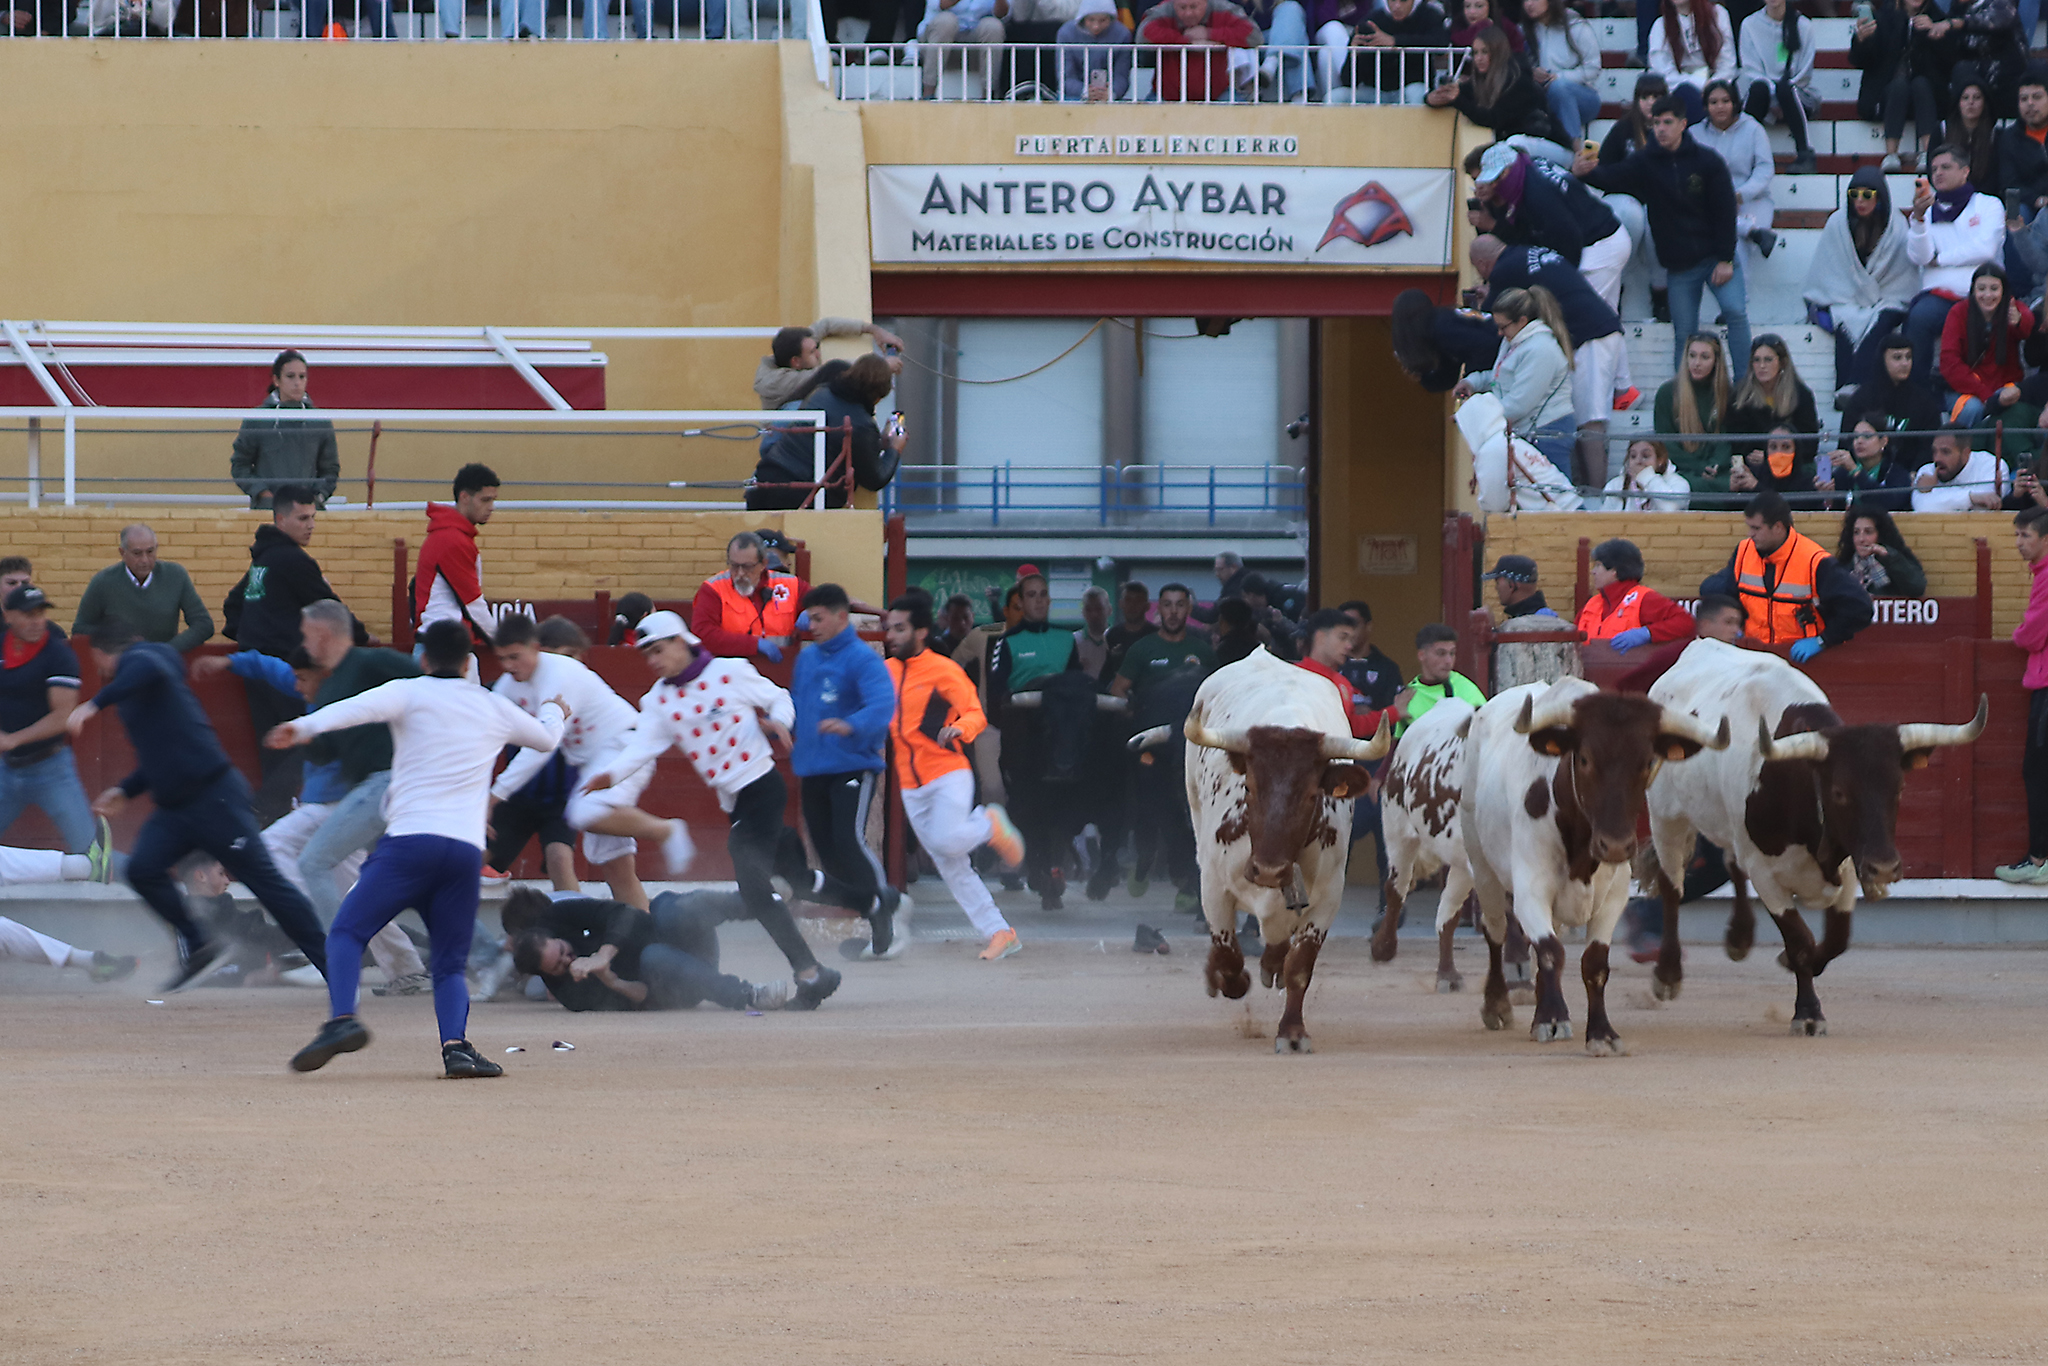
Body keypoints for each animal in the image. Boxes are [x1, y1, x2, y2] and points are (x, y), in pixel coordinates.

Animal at [1179, 651, 1384, 1056]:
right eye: (1250, 787)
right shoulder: (1213, 886)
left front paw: (1292, 1032)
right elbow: (1228, 955)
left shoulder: (1328, 898)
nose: (1269, 871)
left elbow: (1299, 965)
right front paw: (1228, 978)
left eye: (1311, 795)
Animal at [1458, 679, 1728, 1056]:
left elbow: (1594, 963)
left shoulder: (1613, 898)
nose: (1614, 846)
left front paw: (1600, 1032)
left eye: (1647, 761)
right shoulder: (1531, 891)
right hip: (1482, 868)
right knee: (1495, 930)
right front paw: (1553, 1019)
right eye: (1584, 758)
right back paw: (1498, 1004)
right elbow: (1551, 952)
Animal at [1646, 643, 1982, 1036]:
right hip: (1665, 817)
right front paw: (1807, 1012)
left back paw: (1739, 939)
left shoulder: (1850, 865)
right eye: (1838, 792)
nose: (1884, 868)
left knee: (1730, 861)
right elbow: (1801, 941)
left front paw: (1788, 964)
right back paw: (1668, 974)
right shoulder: (1767, 876)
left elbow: (1836, 940)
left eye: (1899, 789)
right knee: (1672, 885)